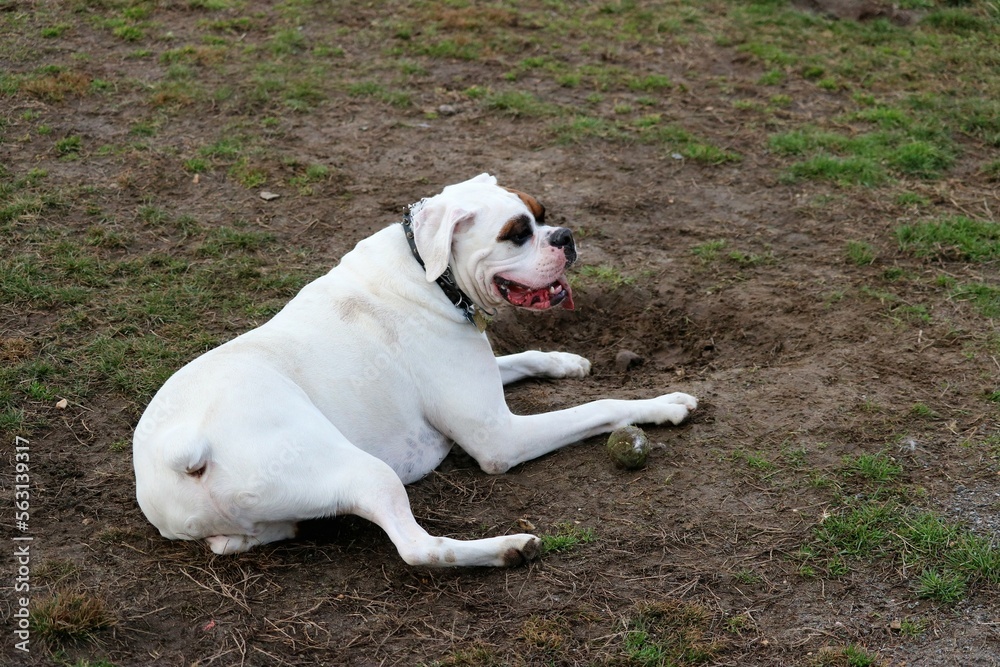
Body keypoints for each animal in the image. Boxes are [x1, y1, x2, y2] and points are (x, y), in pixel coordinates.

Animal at [133, 174, 696, 568]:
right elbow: (598, 406)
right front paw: (663, 405)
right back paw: (508, 548)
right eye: (516, 235)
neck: (430, 273)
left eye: (543, 216)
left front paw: (566, 360)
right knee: (418, 549)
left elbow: (520, 359)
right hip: (364, 471)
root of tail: (184, 447)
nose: (565, 236)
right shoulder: (500, 438)